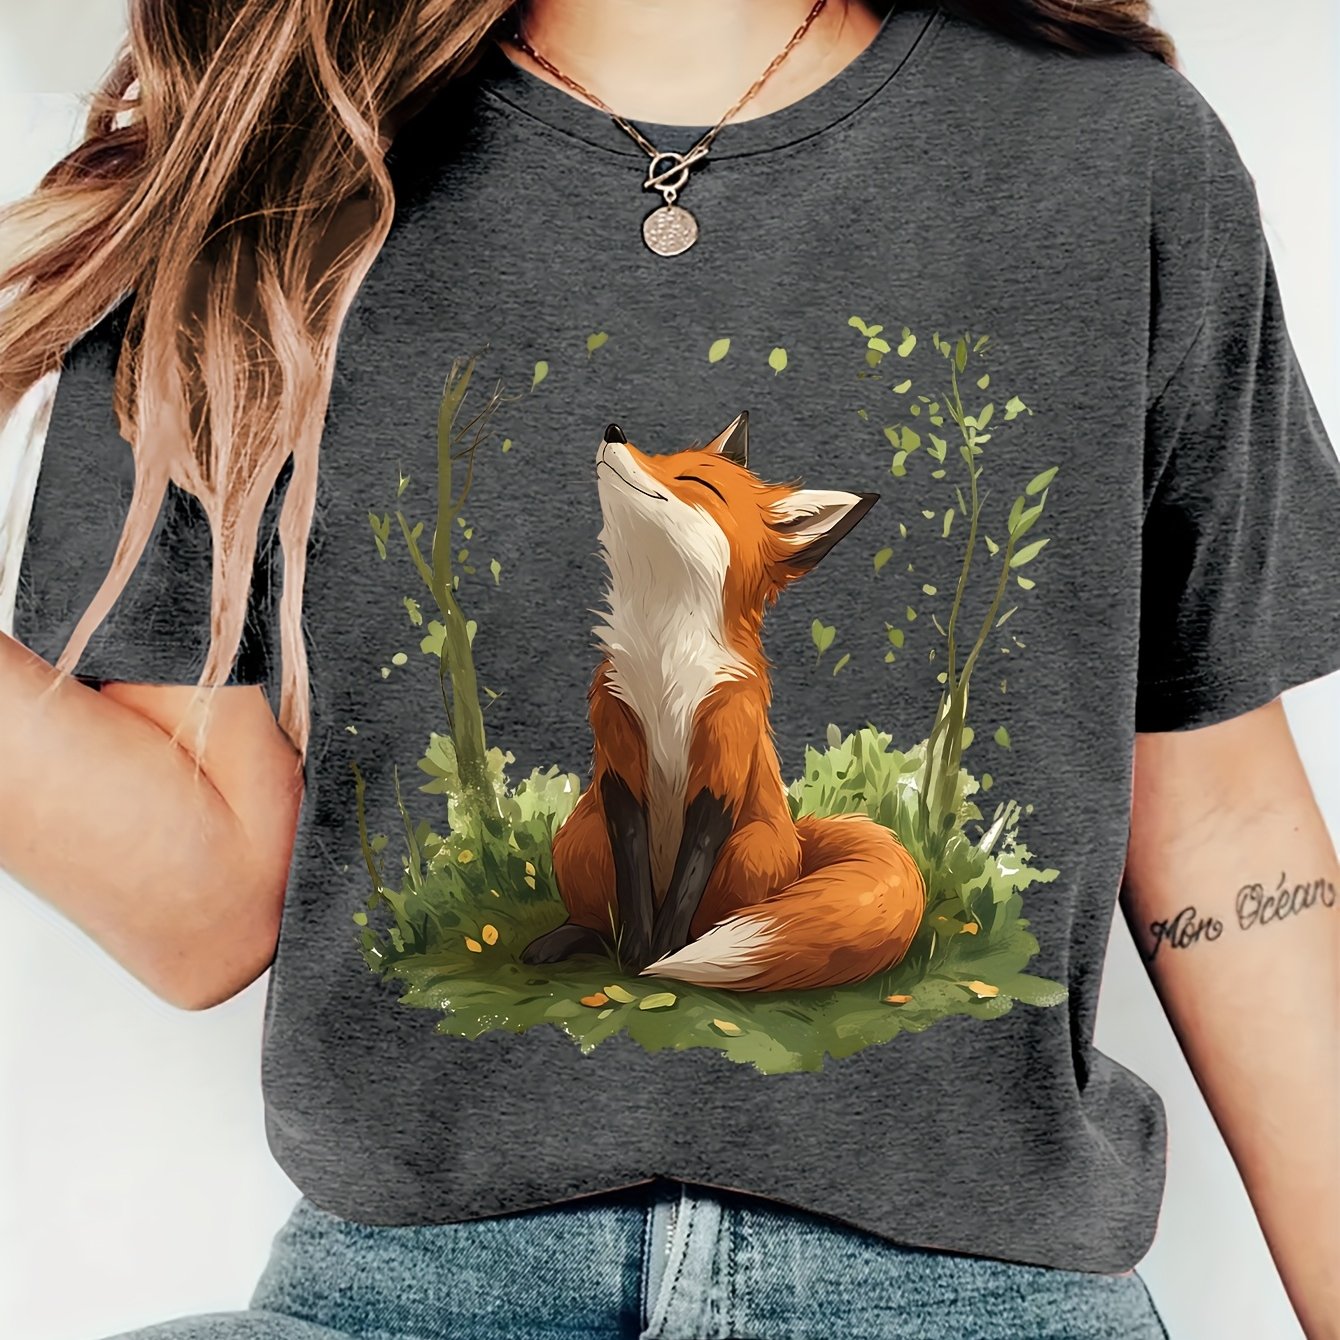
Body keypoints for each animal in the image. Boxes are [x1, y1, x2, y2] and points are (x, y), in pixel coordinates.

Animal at [520, 412, 926, 991]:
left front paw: (657, 955)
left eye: (697, 483)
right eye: (663, 457)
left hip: (750, 850)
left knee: (713, 919)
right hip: (581, 837)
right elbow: (633, 869)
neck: (665, 663)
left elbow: (692, 867)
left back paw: (685, 947)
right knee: (601, 915)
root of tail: (799, 843)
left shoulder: (722, 754)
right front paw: (637, 951)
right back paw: (577, 938)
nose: (613, 431)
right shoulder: (618, 750)